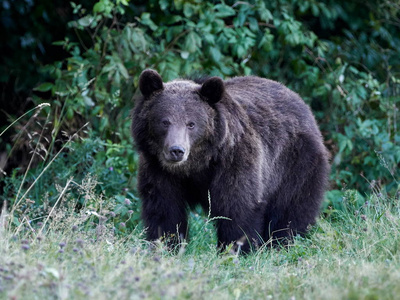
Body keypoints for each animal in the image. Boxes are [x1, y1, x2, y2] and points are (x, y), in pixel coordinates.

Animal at [133, 69, 330, 252]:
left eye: (191, 124)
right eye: (164, 121)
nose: (176, 150)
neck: (198, 165)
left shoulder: (235, 161)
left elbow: (237, 206)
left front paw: (237, 248)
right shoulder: (159, 169)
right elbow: (164, 210)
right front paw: (166, 245)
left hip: (296, 163)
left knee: (291, 208)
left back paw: (283, 243)